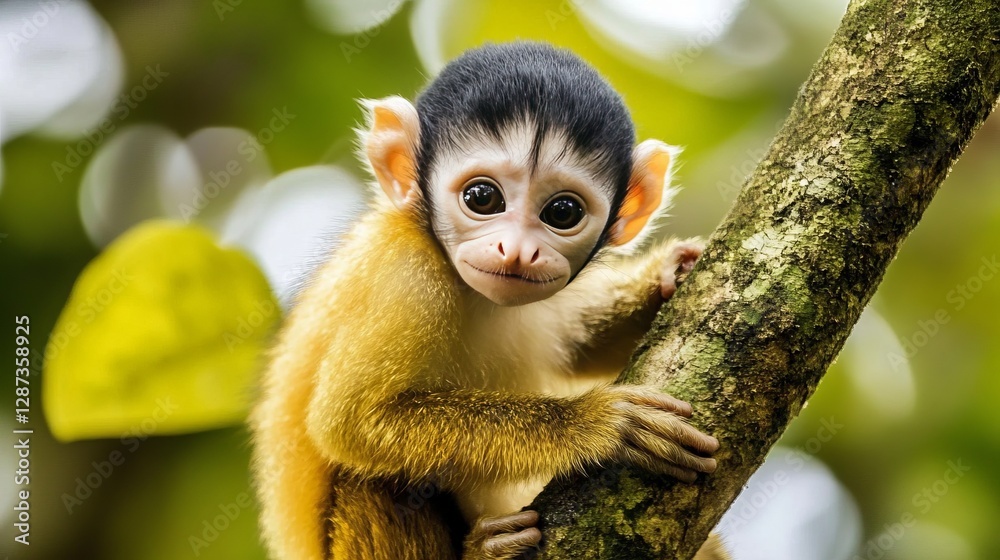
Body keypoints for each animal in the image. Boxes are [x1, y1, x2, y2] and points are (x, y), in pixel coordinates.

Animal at [251, 41, 728, 560]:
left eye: (563, 211)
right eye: (482, 197)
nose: (516, 251)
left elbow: (583, 348)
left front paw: (667, 274)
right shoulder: (404, 273)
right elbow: (352, 421)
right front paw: (592, 426)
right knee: (376, 481)